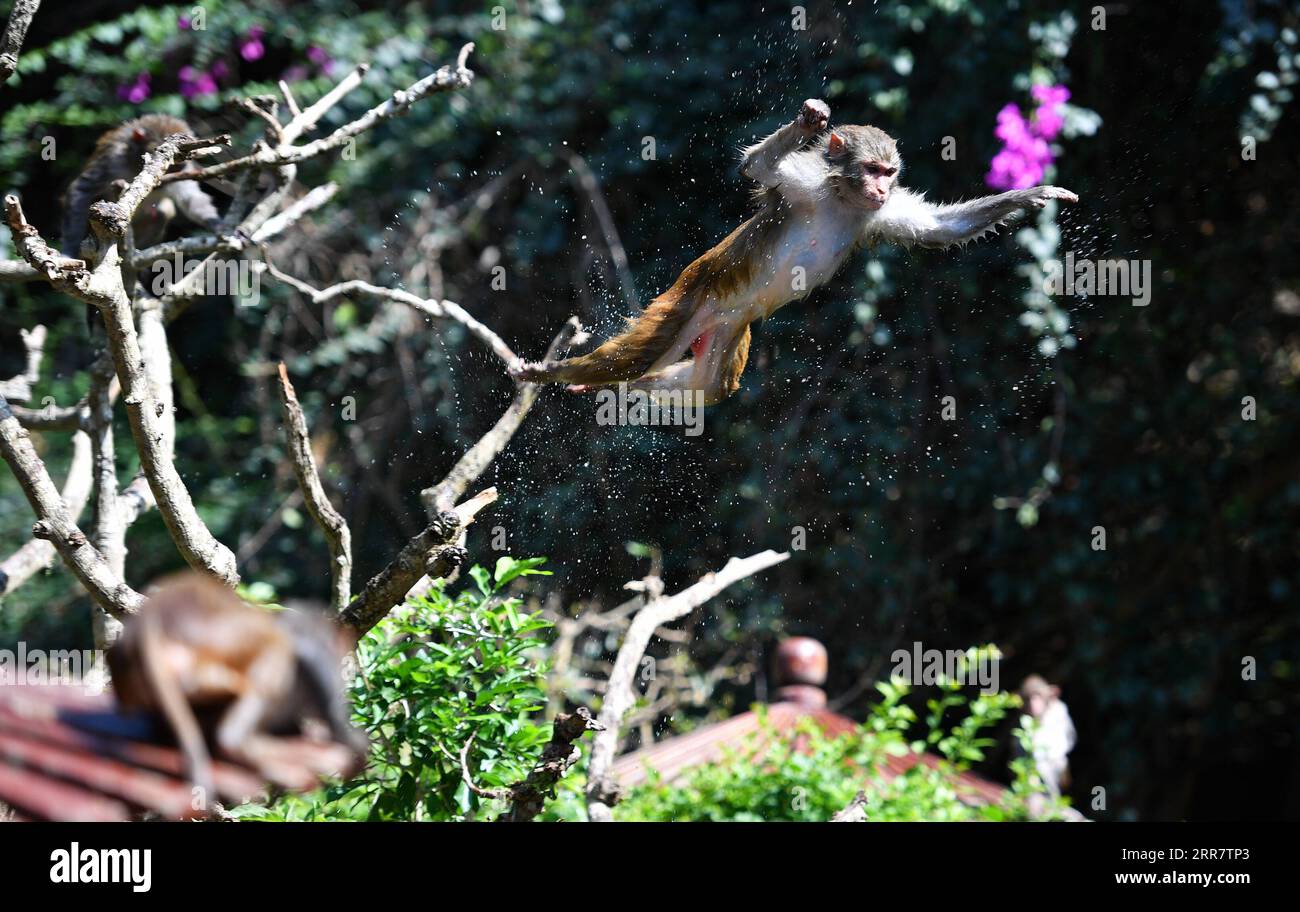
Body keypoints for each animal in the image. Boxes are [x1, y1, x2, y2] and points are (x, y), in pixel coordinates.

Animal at [512, 97, 1081, 407]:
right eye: (872, 170)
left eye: (888, 173)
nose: (881, 187)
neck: (843, 199)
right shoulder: (803, 184)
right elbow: (758, 168)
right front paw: (809, 121)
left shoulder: (879, 215)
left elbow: (942, 229)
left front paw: (1035, 194)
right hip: (686, 299)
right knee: (640, 354)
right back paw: (560, 375)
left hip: (727, 327)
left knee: (708, 387)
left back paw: (636, 387)